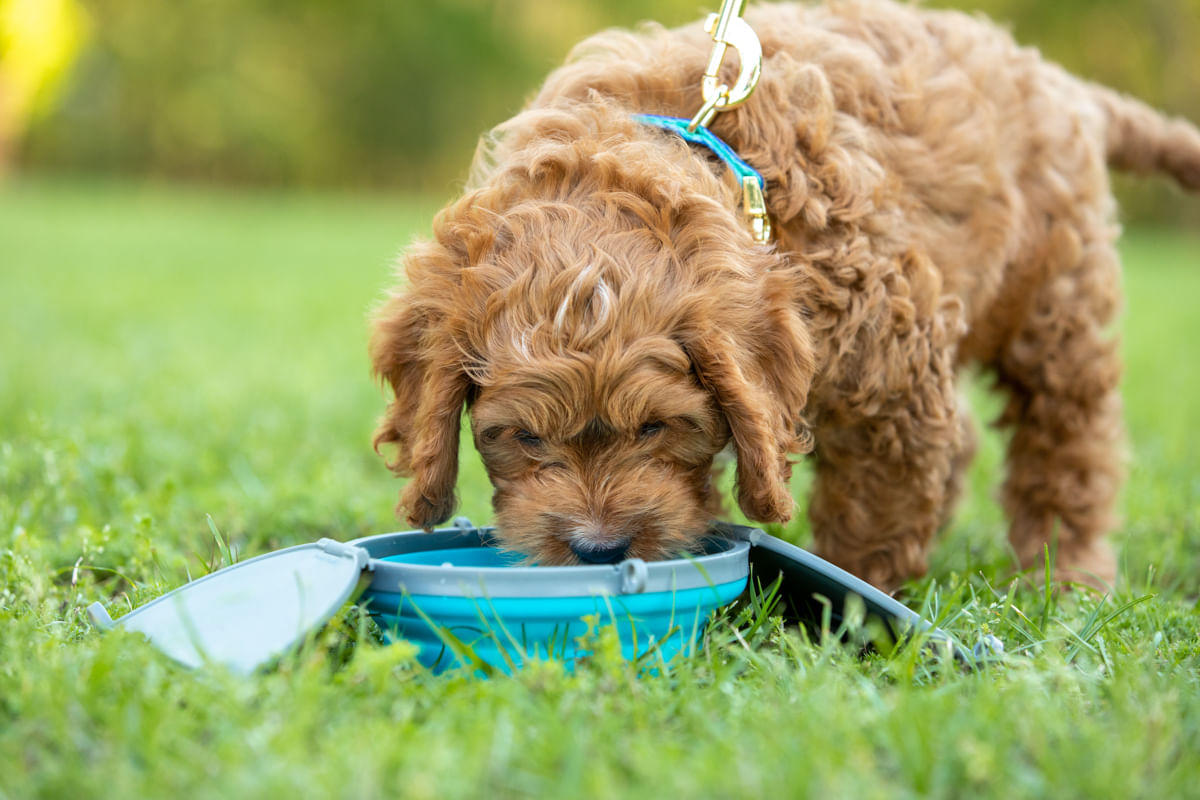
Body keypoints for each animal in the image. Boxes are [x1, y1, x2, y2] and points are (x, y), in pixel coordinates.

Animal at [369, 0, 1195, 587]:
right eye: (524, 438)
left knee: (1067, 440)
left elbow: (876, 510)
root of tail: (1058, 84)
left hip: (1055, 305)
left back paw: (1065, 576)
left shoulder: (893, 379)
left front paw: (859, 607)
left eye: (656, 427)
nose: (600, 549)